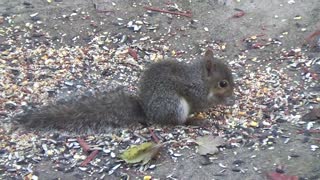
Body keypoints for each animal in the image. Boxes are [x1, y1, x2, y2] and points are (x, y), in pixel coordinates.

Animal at [15, 49, 235, 134]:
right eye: (223, 83)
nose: (233, 93)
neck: (200, 79)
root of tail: (148, 112)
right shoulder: (193, 91)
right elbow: (202, 102)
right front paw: (224, 101)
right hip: (175, 106)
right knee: (178, 122)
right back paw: (195, 121)